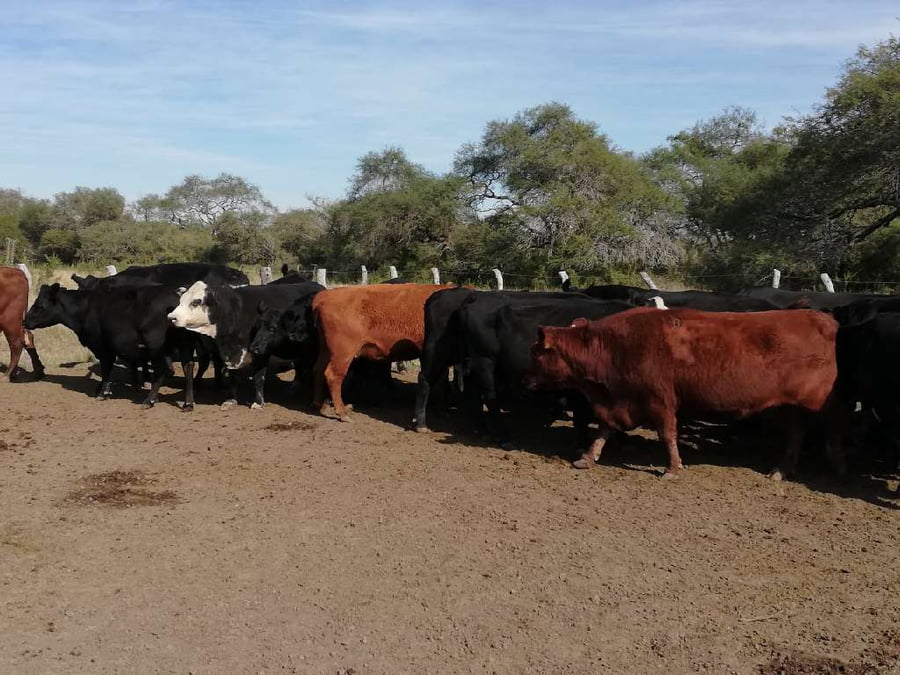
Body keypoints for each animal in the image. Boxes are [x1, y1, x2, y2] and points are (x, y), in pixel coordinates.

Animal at [24, 283, 200, 409]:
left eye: (40, 305)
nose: (25, 321)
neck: (86, 308)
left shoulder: (102, 348)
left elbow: (106, 369)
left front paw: (103, 393)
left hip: (156, 346)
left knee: (162, 369)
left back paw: (149, 400)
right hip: (185, 345)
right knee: (188, 366)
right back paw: (188, 403)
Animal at [167, 280, 324, 408]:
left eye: (196, 302)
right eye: (181, 300)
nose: (171, 317)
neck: (235, 311)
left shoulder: (261, 352)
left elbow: (258, 378)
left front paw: (258, 403)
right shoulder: (230, 355)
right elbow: (232, 378)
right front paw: (231, 400)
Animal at [312, 284, 448, 420]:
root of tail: (324, 296)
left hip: (326, 351)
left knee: (319, 370)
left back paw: (320, 406)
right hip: (343, 353)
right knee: (333, 376)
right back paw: (342, 413)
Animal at [524, 308, 843, 480]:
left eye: (535, 352)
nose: (526, 380)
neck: (615, 346)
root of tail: (822, 319)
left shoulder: (659, 400)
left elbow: (668, 434)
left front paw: (672, 467)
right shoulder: (620, 401)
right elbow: (604, 428)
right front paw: (589, 457)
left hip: (819, 404)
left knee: (832, 429)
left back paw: (835, 465)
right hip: (790, 407)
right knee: (796, 434)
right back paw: (782, 470)